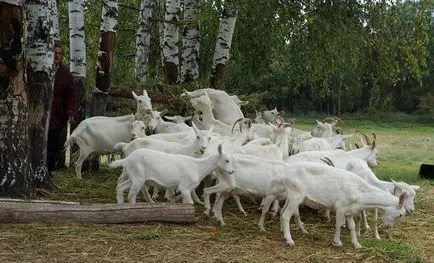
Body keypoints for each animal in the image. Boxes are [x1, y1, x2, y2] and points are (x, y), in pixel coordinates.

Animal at [262, 163, 406, 250]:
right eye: (400, 214)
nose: (388, 227)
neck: (359, 191)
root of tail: (284, 174)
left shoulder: (349, 210)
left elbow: (352, 226)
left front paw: (356, 244)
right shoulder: (340, 207)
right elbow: (339, 225)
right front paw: (337, 242)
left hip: (291, 196)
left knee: (282, 212)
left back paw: (284, 233)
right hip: (296, 195)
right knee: (286, 215)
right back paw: (289, 240)